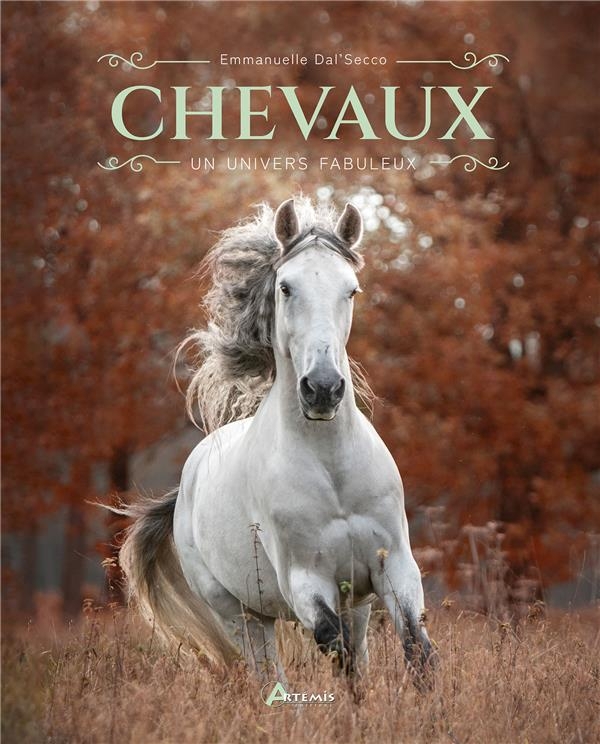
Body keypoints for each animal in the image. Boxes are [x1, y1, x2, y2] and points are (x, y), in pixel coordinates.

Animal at [120, 196, 435, 684]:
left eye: (352, 290)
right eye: (285, 287)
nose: (322, 388)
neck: (331, 470)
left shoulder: (394, 567)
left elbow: (416, 651)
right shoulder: (305, 581)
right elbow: (335, 647)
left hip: (357, 604)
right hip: (242, 614)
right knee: (271, 675)